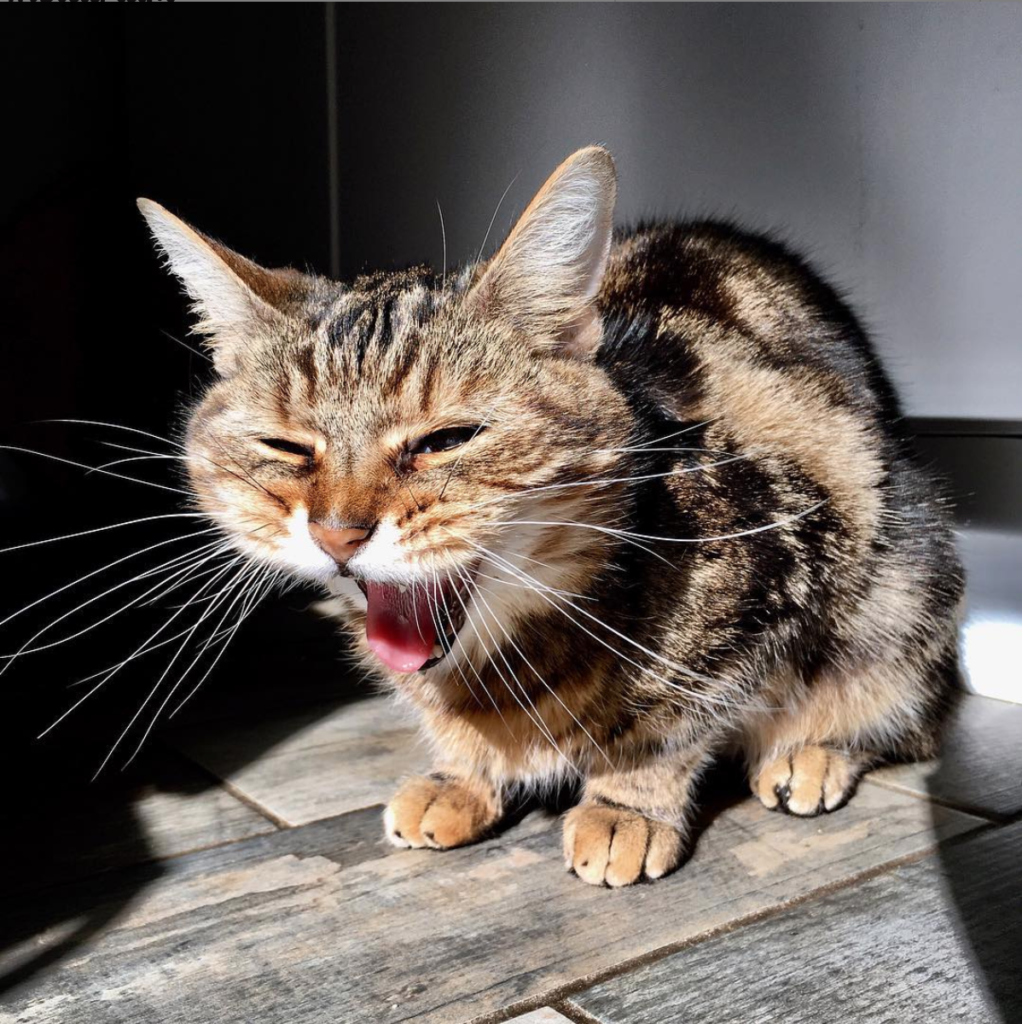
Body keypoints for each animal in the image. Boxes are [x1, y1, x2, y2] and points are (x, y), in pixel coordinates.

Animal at [140, 146, 962, 888]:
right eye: (284, 446)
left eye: (446, 440)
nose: (337, 532)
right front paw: (461, 775)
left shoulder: (772, 553)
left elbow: (668, 712)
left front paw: (626, 806)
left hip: (904, 585)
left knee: (905, 711)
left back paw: (812, 753)